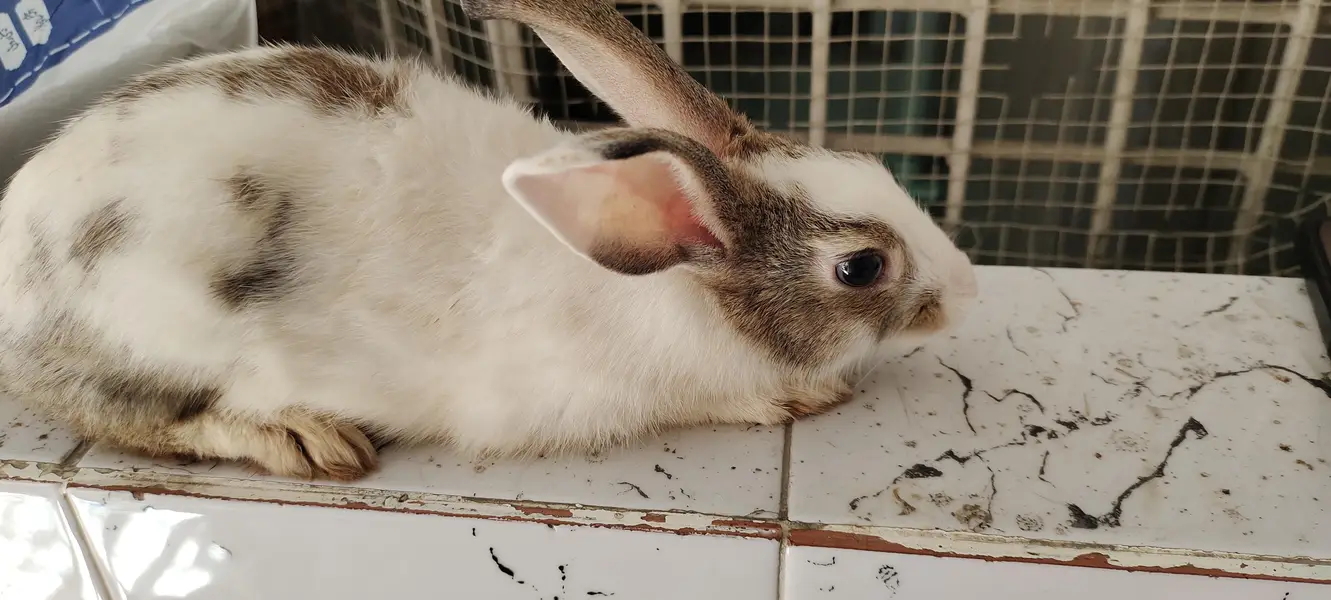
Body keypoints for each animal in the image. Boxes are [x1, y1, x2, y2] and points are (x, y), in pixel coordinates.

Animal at [0, 0, 978, 482]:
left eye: (873, 164)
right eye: (861, 266)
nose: (966, 288)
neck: (674, 281)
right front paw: (797, 397)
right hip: (149, 332)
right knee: (136, 419)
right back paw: (302, 440)